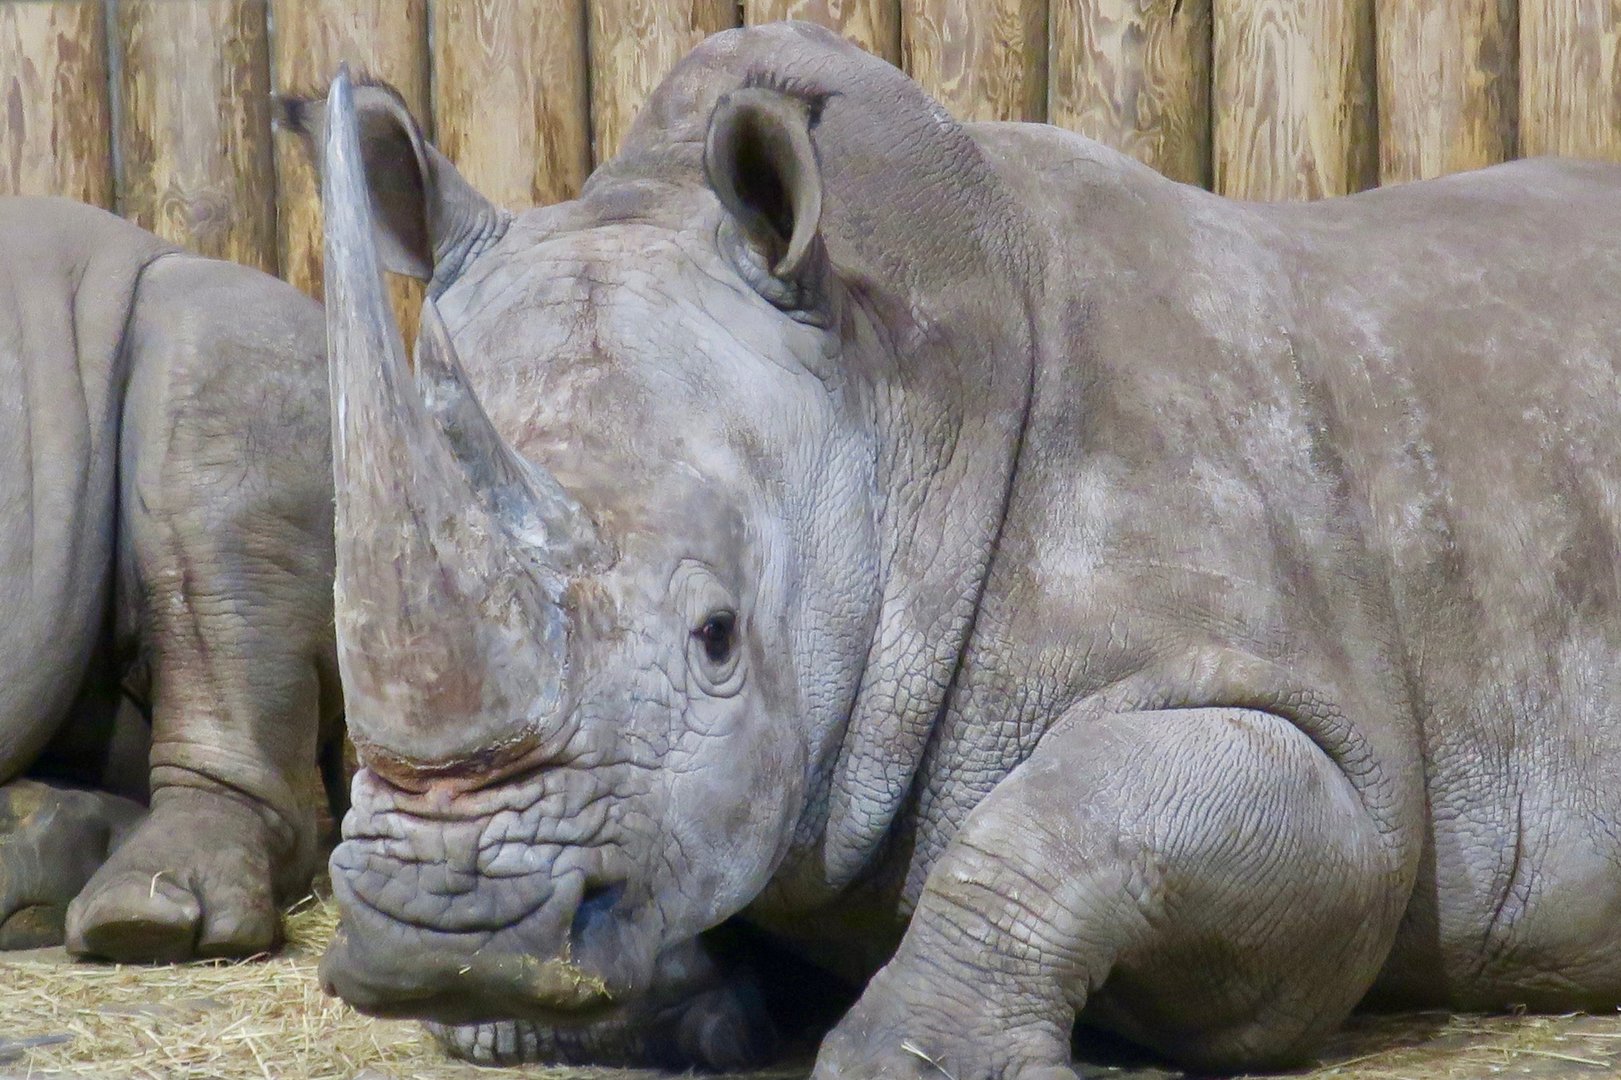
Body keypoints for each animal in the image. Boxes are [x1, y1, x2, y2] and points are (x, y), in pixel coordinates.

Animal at [283, 22, 1621, 1076]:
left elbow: (1075, 814)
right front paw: (552, 1028)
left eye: (716, 640)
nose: (445, 933)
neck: (890, 396)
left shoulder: (1322, 749)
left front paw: (910, 1061)